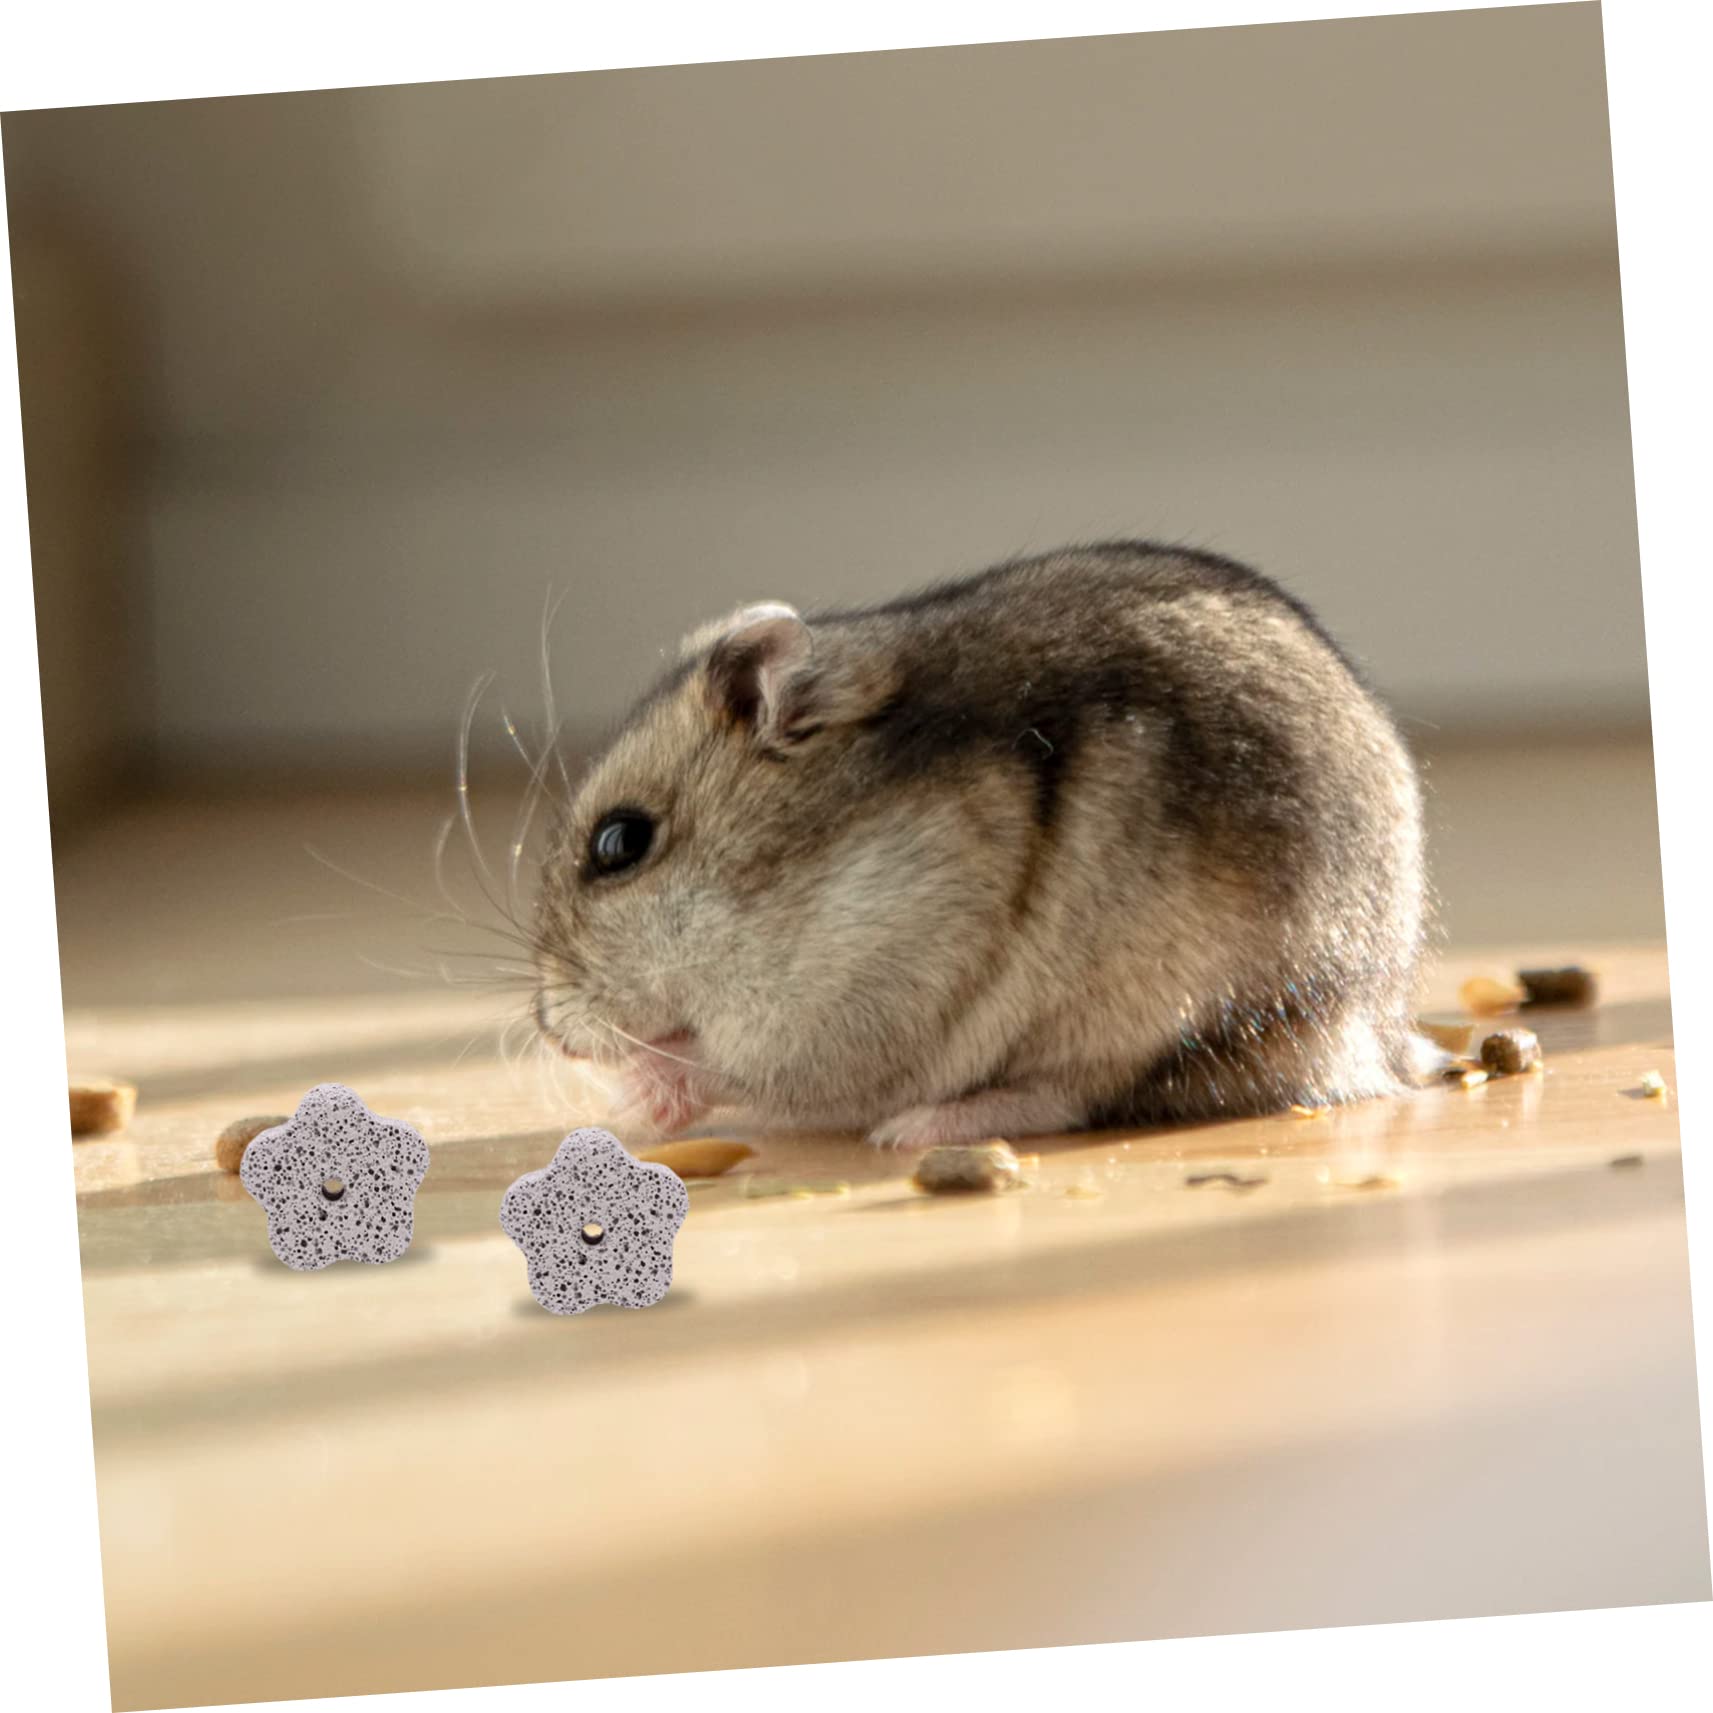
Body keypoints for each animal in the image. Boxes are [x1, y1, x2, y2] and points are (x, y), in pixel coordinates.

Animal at [530, 540, 1434, 1147]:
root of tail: (1376, 1032)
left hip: (1154, 1008)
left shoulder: (862, 995)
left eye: (619, 841)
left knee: (1075, 1094)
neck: (799, 884)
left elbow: (734, 1065)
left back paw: (920, 1128)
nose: (552, 1033)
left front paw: (634, 1097)